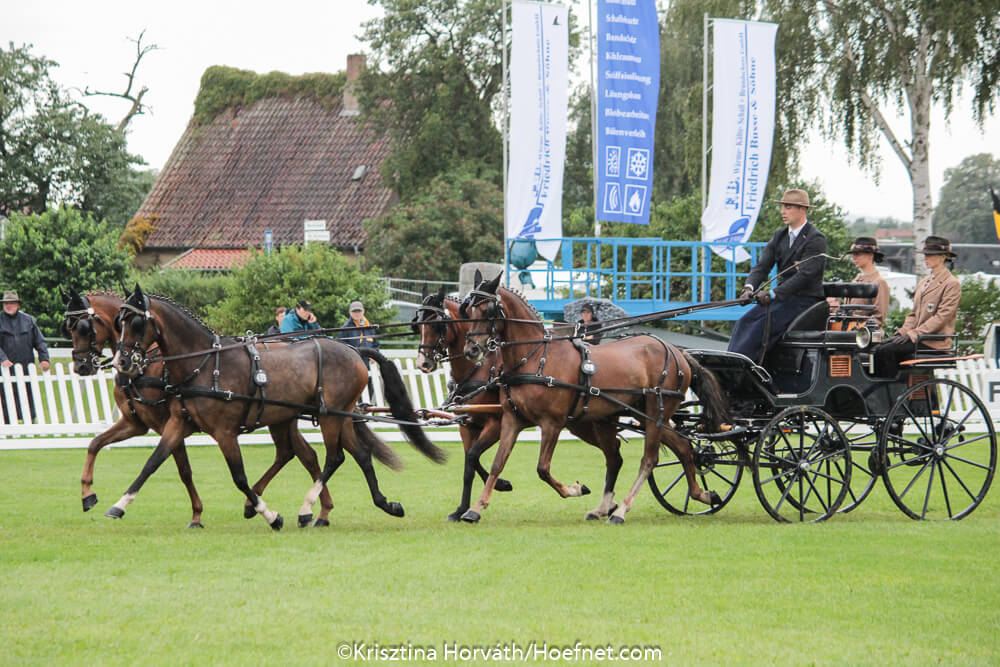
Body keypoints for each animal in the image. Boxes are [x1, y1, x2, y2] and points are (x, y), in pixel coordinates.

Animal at [60, 290, 410, 528]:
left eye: (134, 322)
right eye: (118, 322)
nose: (121, 362)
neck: (201, 363)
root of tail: (353, 350)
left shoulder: (221, 431)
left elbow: (234, 475)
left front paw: (268, 515)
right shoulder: (169, 423)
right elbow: (147, 461)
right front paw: (112, 502)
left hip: (329, 417)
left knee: (332, 457)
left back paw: (307, 508)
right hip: (314, 417)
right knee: (343, 454)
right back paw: (377, 504)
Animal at [458, 274, 728, 524]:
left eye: (488, 309)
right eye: (469, 309)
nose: (471, 350)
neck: (535, 358)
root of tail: (678, 351)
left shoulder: (552, 423)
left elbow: (542, 469)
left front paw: (574, 489)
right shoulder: (512, 420)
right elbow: (497, 463)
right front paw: (476, 508)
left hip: (654, 414)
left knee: (649, 459)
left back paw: (620, 510)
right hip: (633, 416)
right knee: (676, 449)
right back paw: (700, 495)